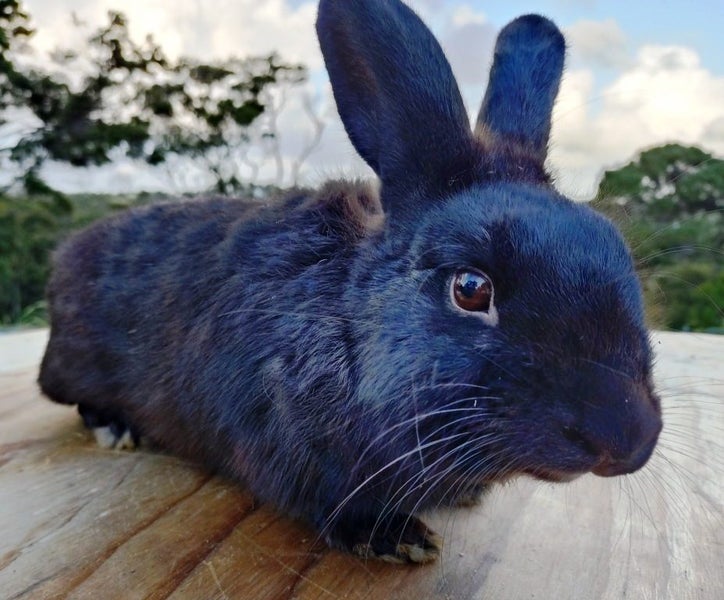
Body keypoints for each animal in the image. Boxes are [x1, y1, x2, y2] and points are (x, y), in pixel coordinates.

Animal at [38, 0, 662, 564]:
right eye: (471, 288)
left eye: (616, 251)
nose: (625, 439)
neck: (345, 324)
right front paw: (398, 540)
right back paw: (115, 429)